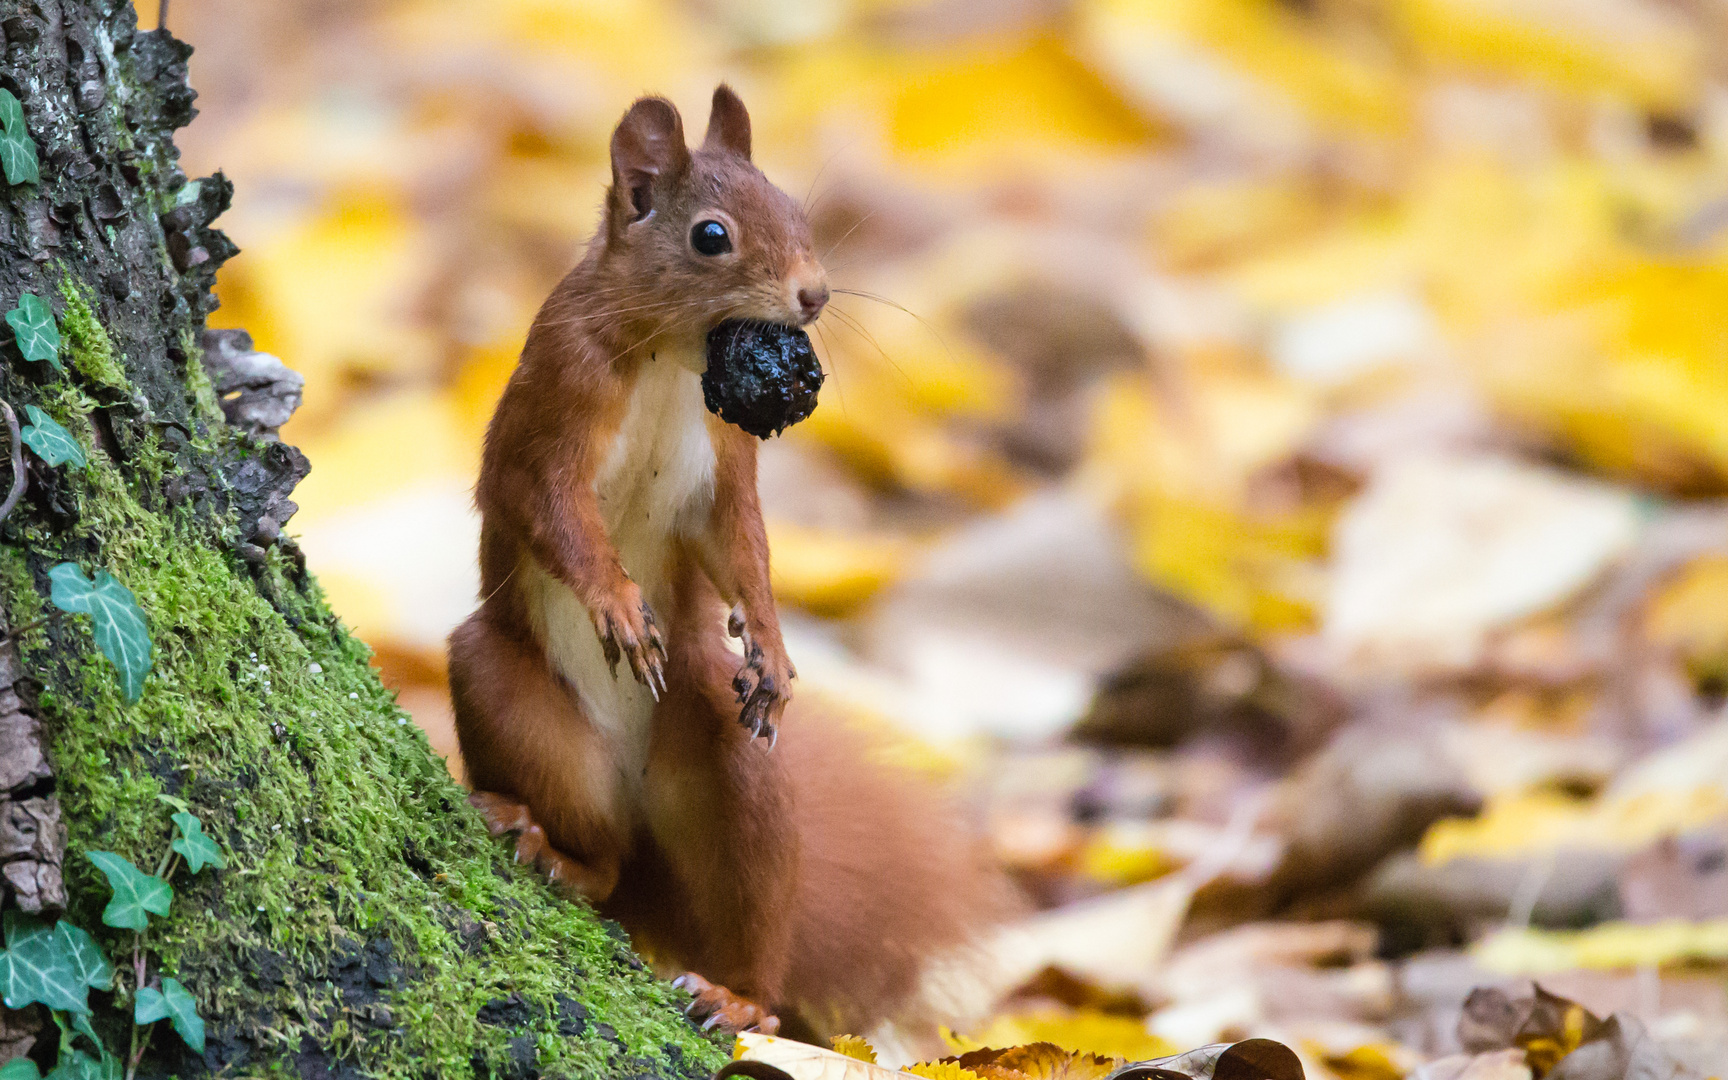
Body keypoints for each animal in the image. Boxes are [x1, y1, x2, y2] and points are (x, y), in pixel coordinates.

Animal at [445, 90, 1009, 1036]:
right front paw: (614, 600)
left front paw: (774, 646)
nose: (814, 296)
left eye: (798, 213)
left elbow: (740, 544)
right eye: (711, 236)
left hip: (731, 757)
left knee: (747, 915)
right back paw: (541, 839)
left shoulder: (727, 458)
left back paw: (737, 994)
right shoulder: (550, 401)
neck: (670, 355)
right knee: (601, 858)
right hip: (508, 696)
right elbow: (547, 508)